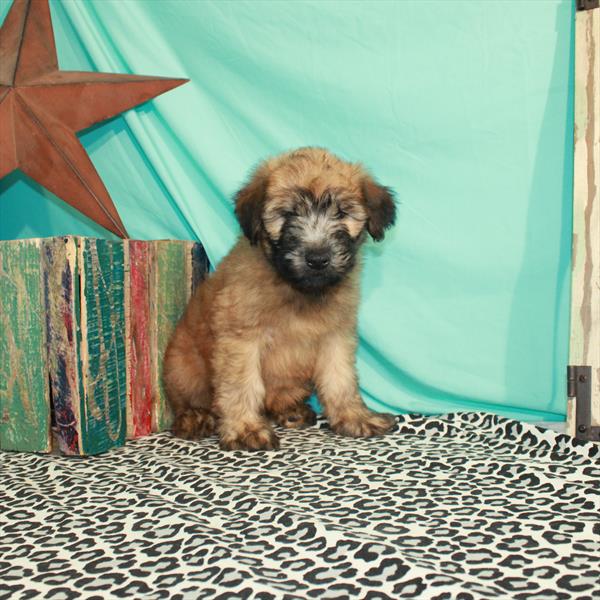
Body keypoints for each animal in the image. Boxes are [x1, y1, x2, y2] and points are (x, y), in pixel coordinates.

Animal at [164, 146, 396, 450]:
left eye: (342, 212)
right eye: (287, 214)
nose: (317, 258)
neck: (298, 289)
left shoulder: (335, 336)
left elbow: (341, 379)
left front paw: (354, 416)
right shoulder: (240, 338)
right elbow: (242, 384)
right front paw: (245, 428)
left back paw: (290, 410)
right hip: (183, 367)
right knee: (187, 400)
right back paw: (194, 417)